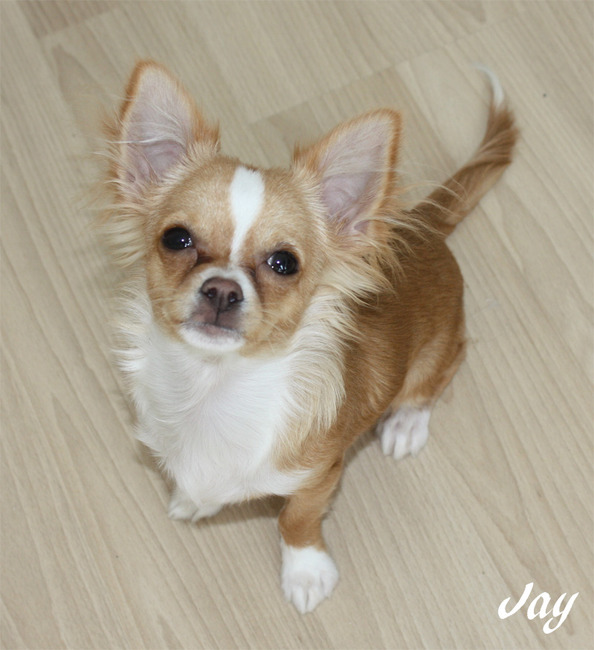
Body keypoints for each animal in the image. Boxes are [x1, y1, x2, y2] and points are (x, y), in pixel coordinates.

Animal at [103, 61, 517, 613]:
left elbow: (294, 519)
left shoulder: (321, 475)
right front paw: (193, 500)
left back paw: (406, 423)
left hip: (439, 350)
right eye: (177, 239)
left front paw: (305, 572)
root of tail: (422, 225)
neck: (214, 388)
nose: (221, 290)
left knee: (434, 379)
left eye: (284, 263)